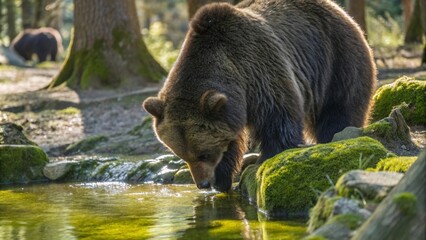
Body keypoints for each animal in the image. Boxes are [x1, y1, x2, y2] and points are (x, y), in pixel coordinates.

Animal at [142, 0, 376, 191]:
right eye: (182, 155)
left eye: (203, 154)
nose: (203, 184)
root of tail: (340, 10)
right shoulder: (230, 107)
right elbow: (230, 139)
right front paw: (223, 179)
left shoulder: (260, 71)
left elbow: (278, 117)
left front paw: (267, 156)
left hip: (336, 58)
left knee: (339, 109)